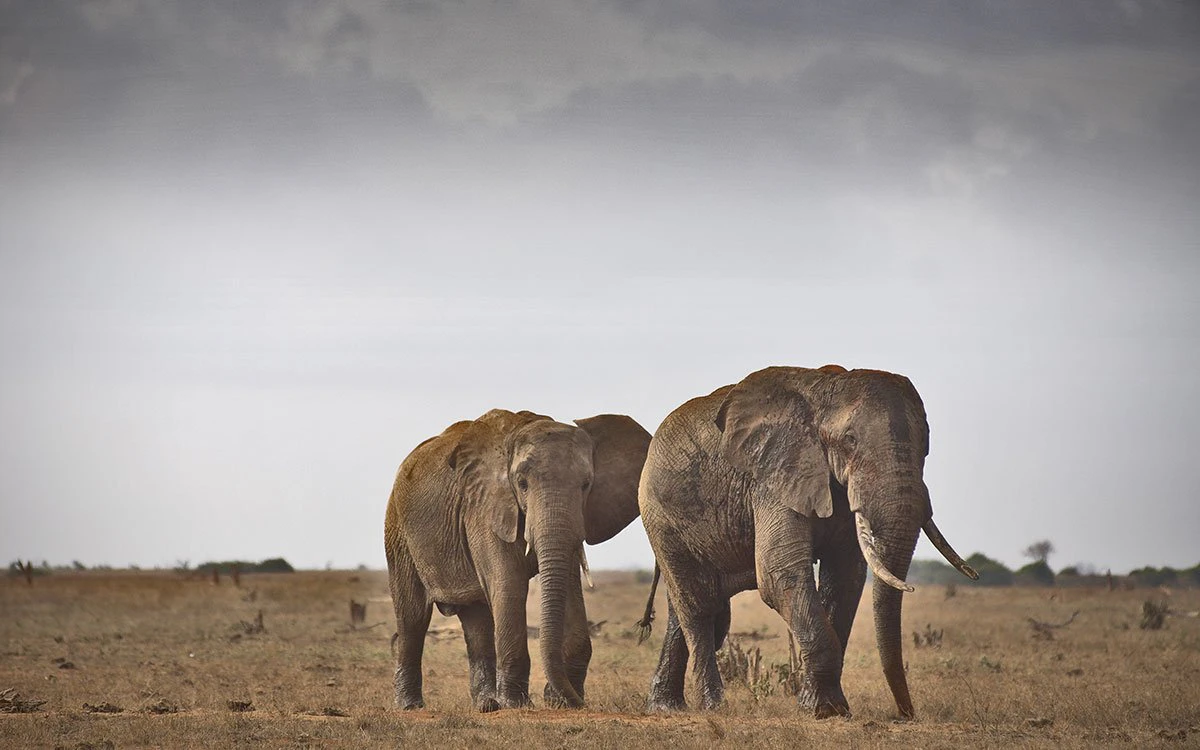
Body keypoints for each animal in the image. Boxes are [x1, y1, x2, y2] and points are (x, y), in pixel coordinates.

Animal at [385, 408, 651, 712]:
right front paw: (517, 704)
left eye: (586, 485)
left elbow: (568, 585)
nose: (578, 704)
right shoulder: (486, 507)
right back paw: (410, 706)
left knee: (476, 619)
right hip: (397, 530)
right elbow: (509, 585)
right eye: (522, 484)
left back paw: (487, 704)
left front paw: (559, 700)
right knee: (413, 617)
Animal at [638, 365, 976, 719]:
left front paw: (825, 707)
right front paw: (825, 710)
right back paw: (712, 706)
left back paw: (666, 707)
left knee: (684, 610)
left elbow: (845, 578)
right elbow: (779, 574)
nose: (905, 713)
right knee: (699, 607)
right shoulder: (774, 476)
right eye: (850, 440)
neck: (823, 394)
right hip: (661, 517)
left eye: (926, 446)